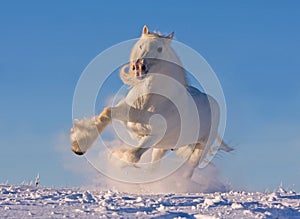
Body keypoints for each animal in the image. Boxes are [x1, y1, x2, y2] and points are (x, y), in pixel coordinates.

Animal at [71, 25, 232, 176]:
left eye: (160, 49)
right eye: (141, 45)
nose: (139, 67)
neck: (149, 102)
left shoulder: (155, 136)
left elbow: (133, 156)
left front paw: (117, 164)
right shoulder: (127, 113)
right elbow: (106, 114)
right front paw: (78, 145)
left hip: (199, 149)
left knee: (188, 170)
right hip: (160, 149)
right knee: (154, 168)